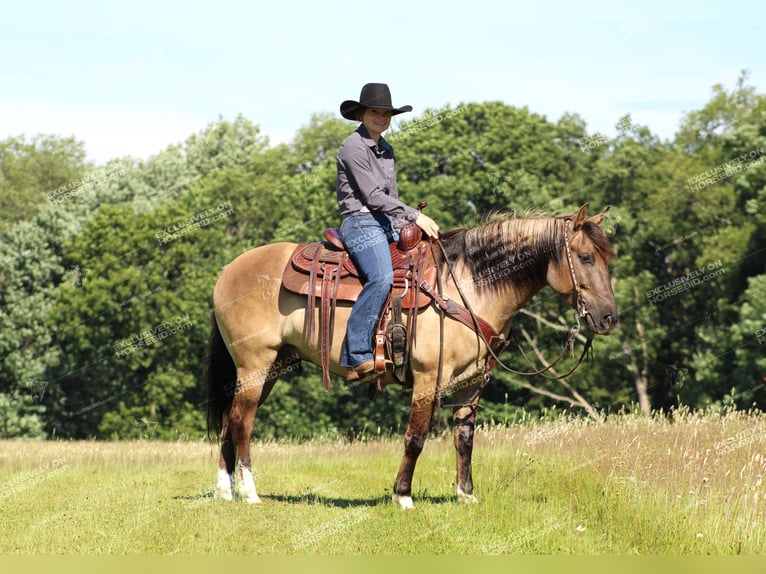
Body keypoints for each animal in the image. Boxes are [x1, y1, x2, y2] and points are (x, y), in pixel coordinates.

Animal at [202, 205, 616, 510]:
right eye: (585, 258)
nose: (609, 318)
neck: (467, 287)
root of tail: (228, 270)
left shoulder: (472, 383)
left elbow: (464, 438)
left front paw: (465, 495)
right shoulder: (429, 377)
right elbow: (415, 437)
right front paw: (402, 496)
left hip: (269, 367)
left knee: (229, 419)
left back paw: (224, 491)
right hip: (255, 365)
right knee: (243, 422)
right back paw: (249, 492)